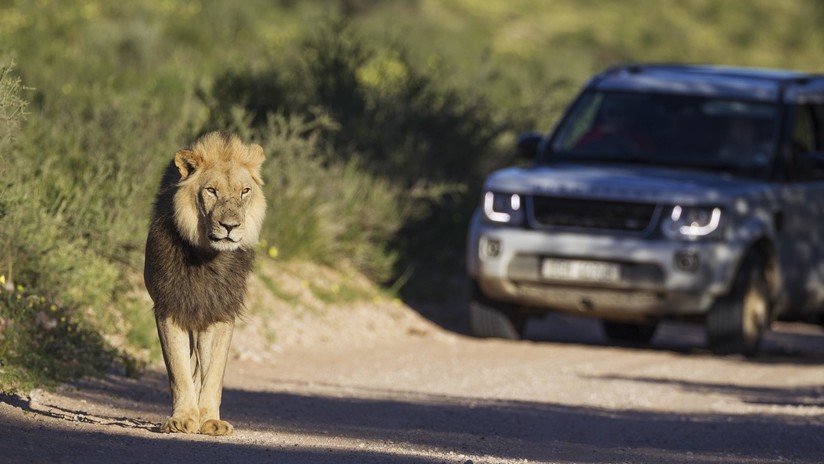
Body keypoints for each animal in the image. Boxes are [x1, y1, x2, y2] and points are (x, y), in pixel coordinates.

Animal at [143, 131, 266, 436]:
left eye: (245, 191)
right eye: (211, 191)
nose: (230, 226)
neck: (208, 256)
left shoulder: (219, 312)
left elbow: (214, 372)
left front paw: (209, 420)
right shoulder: (170, 306)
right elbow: (178, 370)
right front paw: (182, 418)